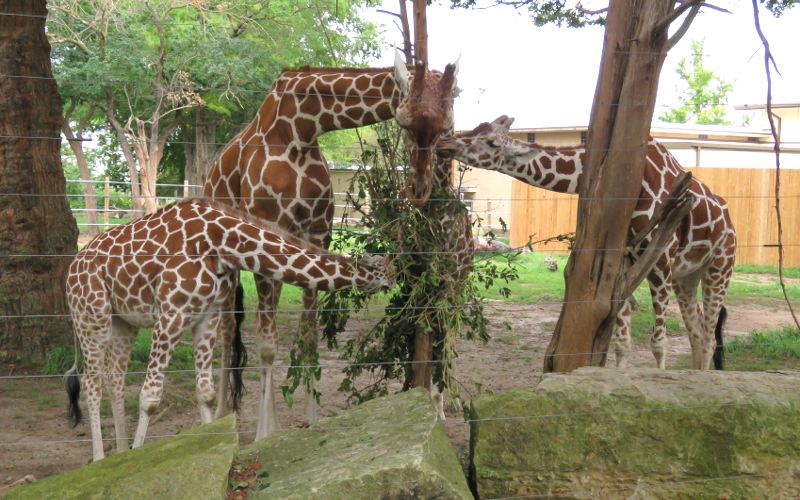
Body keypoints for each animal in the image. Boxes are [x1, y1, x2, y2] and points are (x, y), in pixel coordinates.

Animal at [203, 52, 460, 440]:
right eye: (402, 122)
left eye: (447, 124)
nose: (419, 190)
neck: (300, 130)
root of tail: (210, 175)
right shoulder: (267, 233)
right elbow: (267, 344)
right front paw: (266, 432)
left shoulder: (316, 235)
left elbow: (309, 336)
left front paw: (312, 418)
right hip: (228, 256)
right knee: (227, 329)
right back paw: (221, 416)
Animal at [438, 115, 736, 370]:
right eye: (475, 128)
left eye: (492, 142)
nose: (445, 143)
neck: (636, 180)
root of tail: (731, 224)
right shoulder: (625, 260)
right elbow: (622, 343)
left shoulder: (660, 259)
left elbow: (658, 344)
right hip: (686, 277)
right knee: (698, 334)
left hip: (719, 268)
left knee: (709, 338)